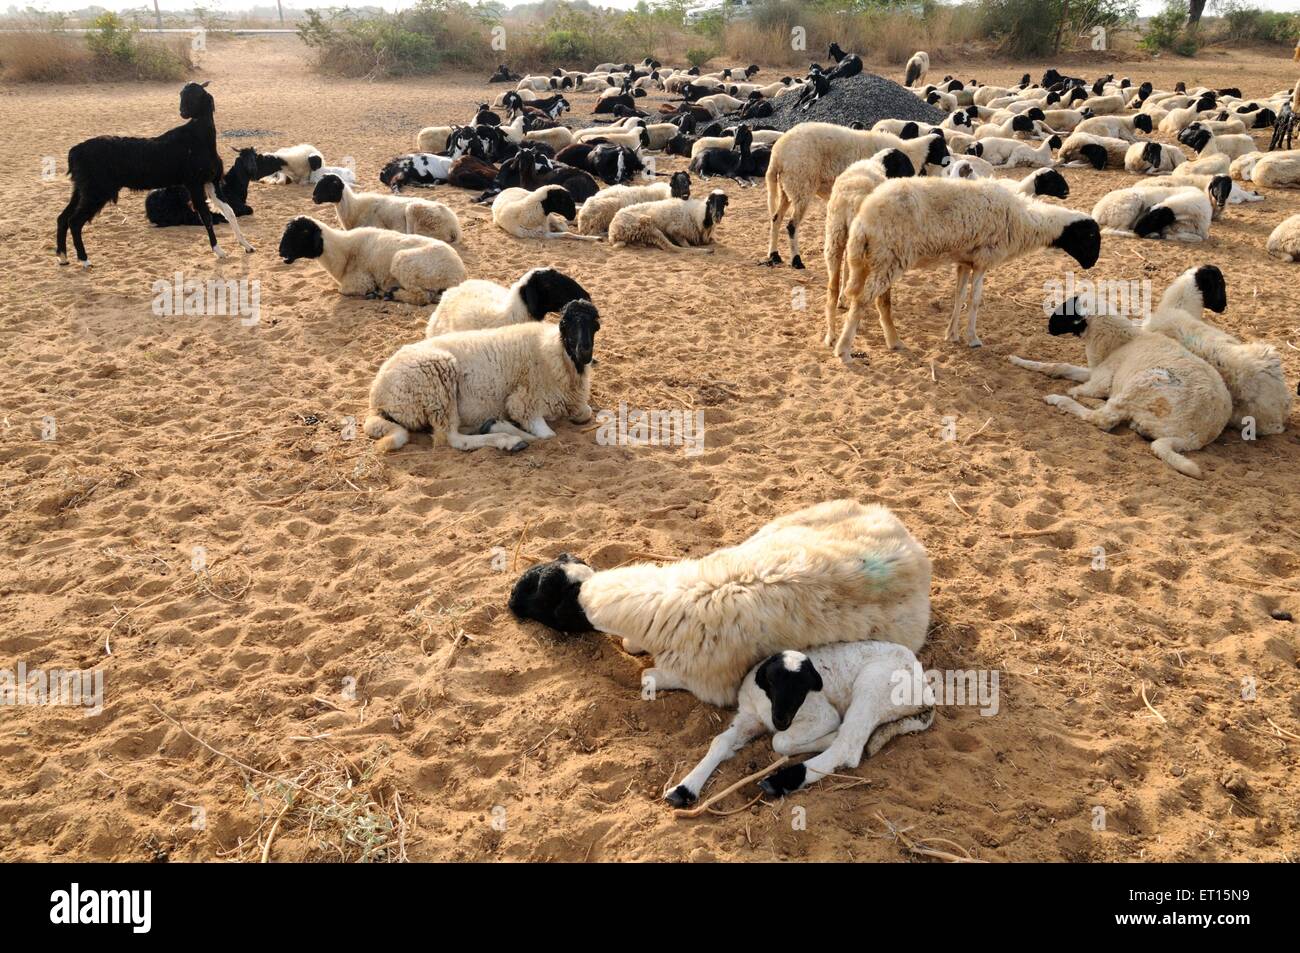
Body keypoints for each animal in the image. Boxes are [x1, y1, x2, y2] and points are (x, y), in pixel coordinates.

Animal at [55, 81, 253, 265]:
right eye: (182, 94)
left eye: (196, 95)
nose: (183, 112)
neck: (198, 138)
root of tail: (75, 151)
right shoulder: (194, 183)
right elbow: (206, 216)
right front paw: (219, 251)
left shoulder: (211, 182)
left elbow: (229, 212)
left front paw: (247, 245)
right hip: (96, 191)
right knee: (74, 221)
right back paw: (84, 260)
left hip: (82, 189)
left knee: (63, 217)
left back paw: (63, 257)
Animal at [660, 639, 935, 800]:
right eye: (772, 682)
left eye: (803, 688)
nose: (781, 720)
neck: (767, 705)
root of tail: (925, 690)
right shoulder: (749, 717)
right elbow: (720, 741)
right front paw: (685, 788)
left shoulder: (823, 715)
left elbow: (779, 742)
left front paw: (825, 737)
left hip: (873, 685)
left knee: (848, 747)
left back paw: (780, 781)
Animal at [832, 175, 1097, 356]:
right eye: (1090, 236)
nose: (1091, 264)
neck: (1024, 219)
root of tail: (862, 222)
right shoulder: (982, 260)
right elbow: (975, 300)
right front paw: (972, 338)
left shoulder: (965, 261)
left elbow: (958, 297)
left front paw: (952, 334)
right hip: (888, 259)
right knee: (862, 300)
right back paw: (843, 349)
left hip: (877, 260)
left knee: (877, 300)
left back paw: (892, 341)